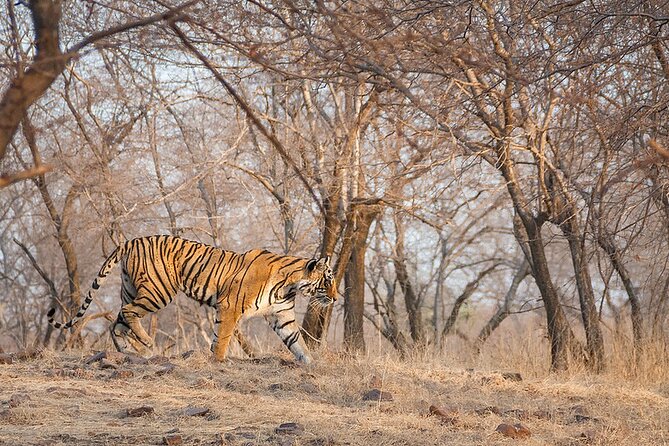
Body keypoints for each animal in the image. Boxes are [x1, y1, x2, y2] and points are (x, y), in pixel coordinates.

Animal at [48, 235, 336, 364]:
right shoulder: (230, 307)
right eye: (328, 281)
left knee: (116, 321)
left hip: (130, 288)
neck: (290, 286)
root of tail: (130, 241)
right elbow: (223, 337)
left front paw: (311, 364)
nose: (335, 298)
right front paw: (217, 361)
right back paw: (146, 342)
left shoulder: (281, 314)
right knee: (128, 313)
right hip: (159, 291)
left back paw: (129, 351)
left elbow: (297, 341)